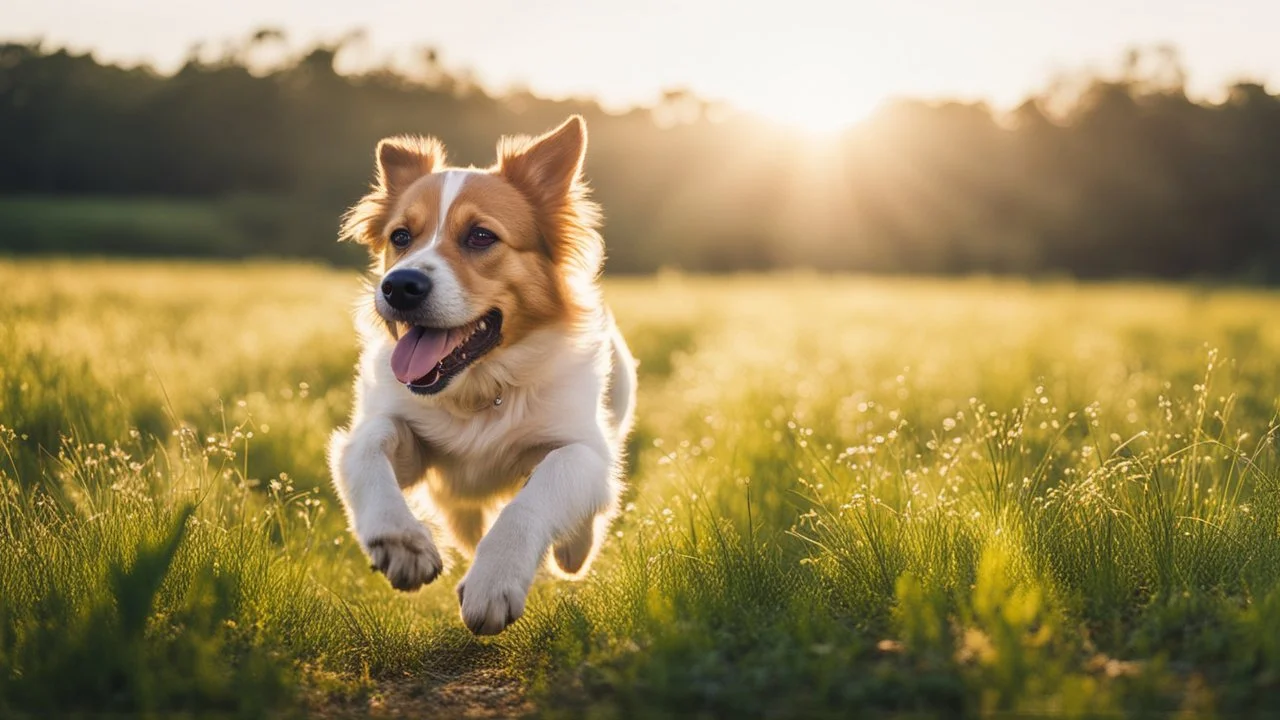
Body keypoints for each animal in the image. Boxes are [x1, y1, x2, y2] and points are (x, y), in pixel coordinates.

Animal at [325, 114, 634, 630]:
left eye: (481, 236)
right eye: (400, 237)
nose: (399, 286)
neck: (478, 386)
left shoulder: (582, 449)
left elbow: (540, 491)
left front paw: (494, 580)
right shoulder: (407, 438)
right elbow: (368, 445)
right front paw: (400, 540)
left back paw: (574, 549)